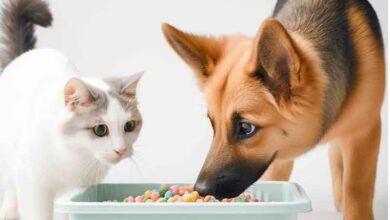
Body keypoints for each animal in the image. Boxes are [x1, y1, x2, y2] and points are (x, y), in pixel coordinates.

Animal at [0, 0, 143, 219]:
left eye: (129, 126)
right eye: (100, 129)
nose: (121, 150)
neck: (74, 157)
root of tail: (25, 54)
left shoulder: (76, 191)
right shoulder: (32, 185)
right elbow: (37, 213)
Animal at [161, 0, 384, 220]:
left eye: (246, 128)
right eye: (212, 124)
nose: (200, 190)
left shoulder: (365, 133)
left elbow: (356, 188)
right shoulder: (277, 154)